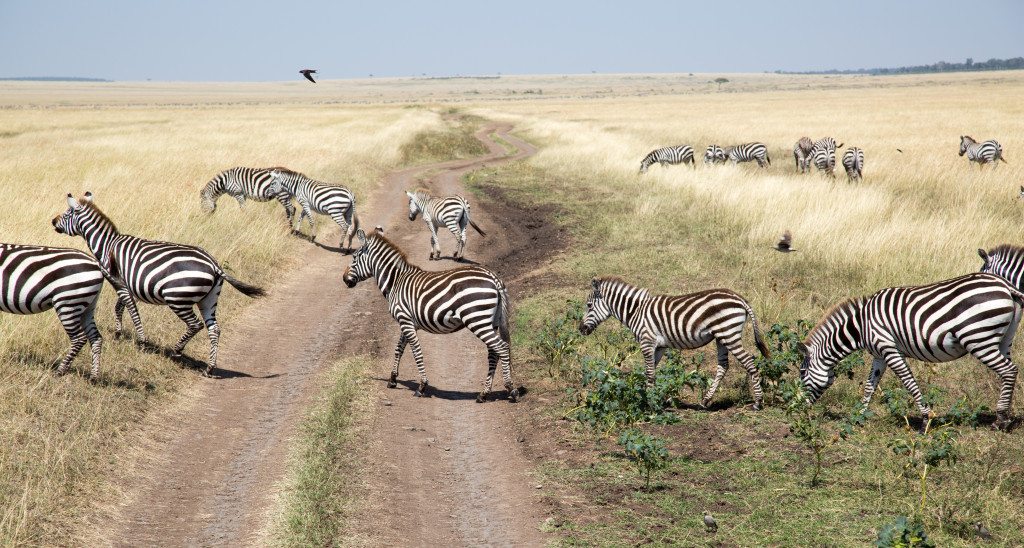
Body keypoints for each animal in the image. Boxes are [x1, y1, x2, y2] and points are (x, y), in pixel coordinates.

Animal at [1, 245, 135, 378]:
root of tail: (96, 264)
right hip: (88, 305)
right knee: (96, 337)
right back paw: (93, 376)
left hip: (68, 303)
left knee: (79, 338)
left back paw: (60, 371)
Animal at [52, 192, 264, 376]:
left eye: (67, 213)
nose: (53, 221)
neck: (107, 245)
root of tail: (214, 264)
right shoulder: (126, 286)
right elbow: (120, 307)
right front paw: (119, 333)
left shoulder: (119, 283)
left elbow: (130, 309)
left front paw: (142, 341)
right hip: (209, 299)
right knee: (214, 329)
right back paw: (209, 368)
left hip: (178, 298)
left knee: (195, 325)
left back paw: (176, 350)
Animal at [342, 227, 516, 403]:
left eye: (354, 257)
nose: (344, 279)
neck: (395, 282)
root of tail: (493, 278)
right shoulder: (408, 322)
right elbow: (399, 349)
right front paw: (392, 379)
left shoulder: (404, 320)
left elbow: (416, 351)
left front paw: (422, 386)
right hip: (491, 322)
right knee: (493, 352)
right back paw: (484, 393)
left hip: (477, 320)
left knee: (502, 348)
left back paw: (510, 389)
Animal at [577, 276, 770, 409]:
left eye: (588, 305)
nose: (580, 329)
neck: (636, 311)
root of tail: (740, 299)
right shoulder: (659, 346)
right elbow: (650, 372)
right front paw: (647, 398)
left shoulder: (647, 342)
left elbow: (649, 373)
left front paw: (649, 404)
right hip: (721, 336)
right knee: (723, 366)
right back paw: (705, 400)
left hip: (729, 333)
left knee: (749, 362)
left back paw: (758, 402)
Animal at [798, 272, 1024, 428]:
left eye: (802, 373)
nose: (798, 407)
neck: (861, 326)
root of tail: (1005, 285)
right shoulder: (879, 355)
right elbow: (871, 385)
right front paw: (859, 416)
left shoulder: (888, 348)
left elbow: (908, 381)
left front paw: (926, 419)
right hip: (1004, 339)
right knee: (1009, 372)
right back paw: (1005, 417)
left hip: (978, 338)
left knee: (1009, 370)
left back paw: (1000, 420)